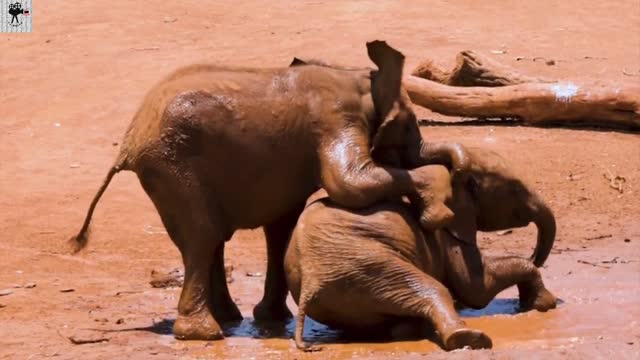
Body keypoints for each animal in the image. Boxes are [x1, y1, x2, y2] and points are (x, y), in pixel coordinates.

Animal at [70, 40, 470, 340]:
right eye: (410, 125)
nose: (464, 168)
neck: (357, 75)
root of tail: (128, 142)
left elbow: (281, 225)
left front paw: (272, 320)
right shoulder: (335, 117)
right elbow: (349, 185)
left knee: (211, 237)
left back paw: (228, 319)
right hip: (171, 165)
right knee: (203, 236)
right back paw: (205, 333)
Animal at [284, 148, 556, 350]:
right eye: (516, 188)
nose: (535, 254)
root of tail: (309, 283)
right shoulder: (449, 230)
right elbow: (475, 288)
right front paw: (545, 304)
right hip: (365, 266)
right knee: (432, 289)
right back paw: (470, 339)